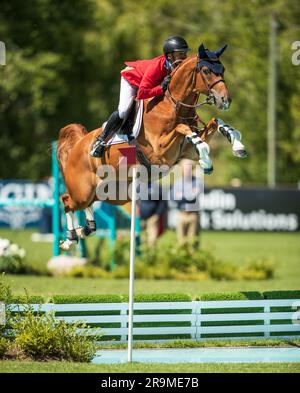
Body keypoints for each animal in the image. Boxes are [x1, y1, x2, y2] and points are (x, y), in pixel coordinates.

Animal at [57, 43, 247, 250]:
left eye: (223, 69)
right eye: (205, 70)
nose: (225, 100)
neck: (174, 105)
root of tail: (78, 145)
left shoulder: (186, 152)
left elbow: (215, 121)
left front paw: (237, 145)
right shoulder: (159, 152)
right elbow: (183, 128)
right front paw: (207, 162)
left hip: (111, 193)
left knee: (86, 205)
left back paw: (83, 230)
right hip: (83, 190)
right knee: (66, 200)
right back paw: (70, 238)